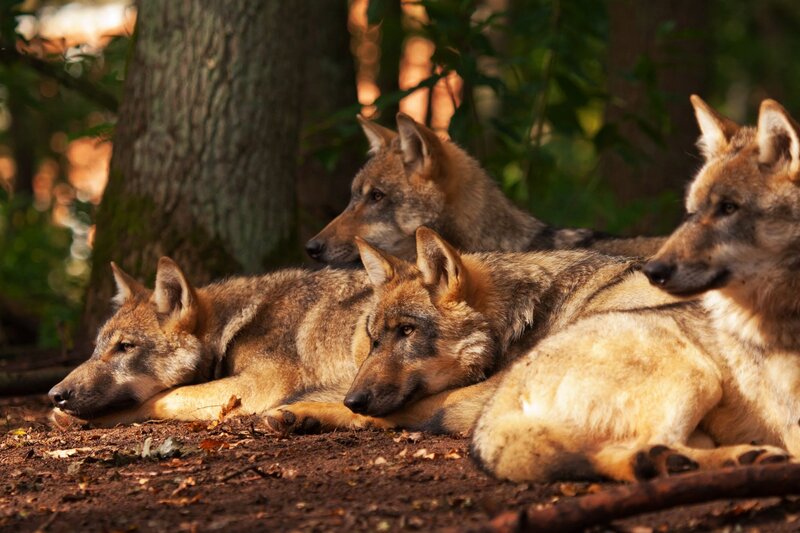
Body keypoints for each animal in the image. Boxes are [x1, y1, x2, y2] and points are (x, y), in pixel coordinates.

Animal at [49, 257, 373, 427]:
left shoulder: (264, 384)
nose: (55, 395)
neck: (234, 327)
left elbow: (167, 397)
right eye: (96, 348)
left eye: (125, 347)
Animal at [469, 96, 800, 483]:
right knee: (651, 446)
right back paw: (731, 460)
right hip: (697, 375)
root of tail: (496, 406)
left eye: (728, 208)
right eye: (691, 213)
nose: (653, 270)